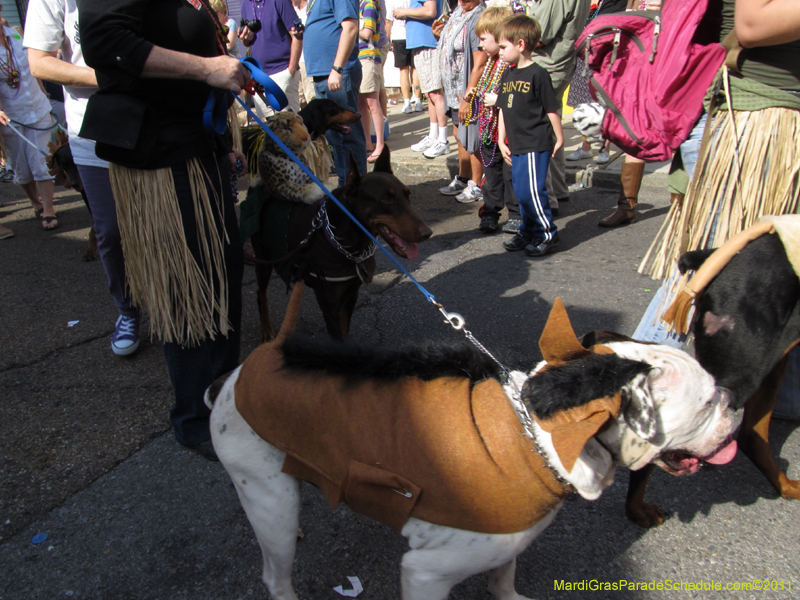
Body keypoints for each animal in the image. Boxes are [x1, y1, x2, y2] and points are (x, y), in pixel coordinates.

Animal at [205, 288, 736, 600]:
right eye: (707, 402)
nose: (733, 400)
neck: (537, 438)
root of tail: (256, 360)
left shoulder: (505, 552)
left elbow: (504, 581)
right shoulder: (425, 574)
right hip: (270, 501)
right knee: (276, 575)